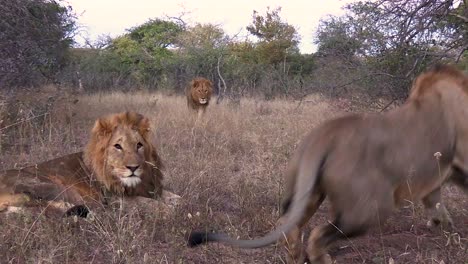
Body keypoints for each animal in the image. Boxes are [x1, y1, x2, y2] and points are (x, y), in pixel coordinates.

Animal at [0, 111, 179, 217]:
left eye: (139, 145)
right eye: (118, 146)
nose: (133, 168)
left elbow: (176, 197)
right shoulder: (116, 199)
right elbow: (152, 204)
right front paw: (169, 210)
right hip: (56, 187)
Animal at [188, 64, 468, 264]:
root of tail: (323, 137)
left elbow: (437, 204)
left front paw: (443, 227)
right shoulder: (461, 160)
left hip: (308, 193)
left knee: (289, 226)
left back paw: (296, 258)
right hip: (372, 207)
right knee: (316, 236)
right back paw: (320, 259)